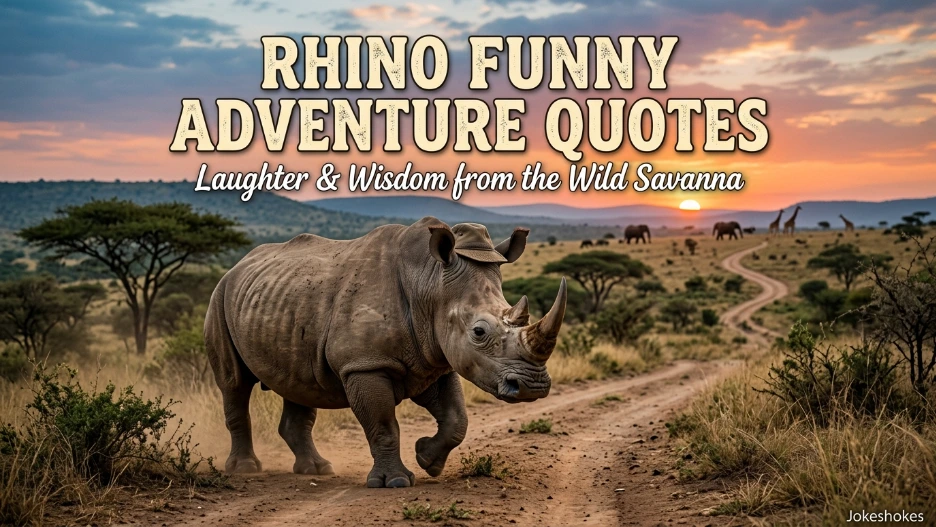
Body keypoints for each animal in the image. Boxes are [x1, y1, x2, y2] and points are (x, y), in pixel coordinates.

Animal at [205, 217, 567, 488]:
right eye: (479, 332)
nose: (533, 387)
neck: (430, 282)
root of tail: (237, 266)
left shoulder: (434, 359)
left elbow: (457, 419)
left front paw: (427, 459)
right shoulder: (365, 364)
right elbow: (382, 423)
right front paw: (394, 482)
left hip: (283, 301)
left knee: (299, 384)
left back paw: (318, 470)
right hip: (220, 297)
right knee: (234, 383)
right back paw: (245, 469)